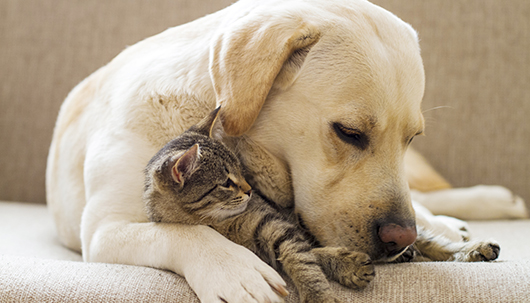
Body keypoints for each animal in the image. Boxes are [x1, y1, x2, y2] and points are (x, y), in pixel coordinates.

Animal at [142, 108, 374, 302]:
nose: (250, 190)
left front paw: (322, 291)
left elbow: (302, 258)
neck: (219, 223)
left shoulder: (276, 225)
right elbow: (306, 254)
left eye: (240, 169)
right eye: (226, 183)